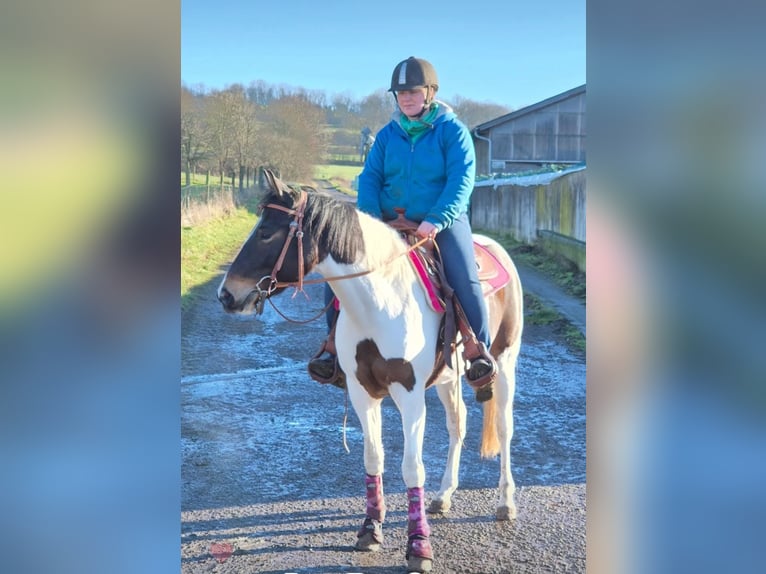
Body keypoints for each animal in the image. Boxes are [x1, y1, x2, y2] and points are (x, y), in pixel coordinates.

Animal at [217, 170, 524, 573]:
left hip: (504, 365)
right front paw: (370, 529)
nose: (226, 295)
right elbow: (373, 457)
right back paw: (443, 495)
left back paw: (505, 502)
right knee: (457, 425)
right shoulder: (363, 392)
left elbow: (412, 467)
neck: (381, 301)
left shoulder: (410, 395)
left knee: (504, 429)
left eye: (267, 231)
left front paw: (419, 546)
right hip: (448, 379)